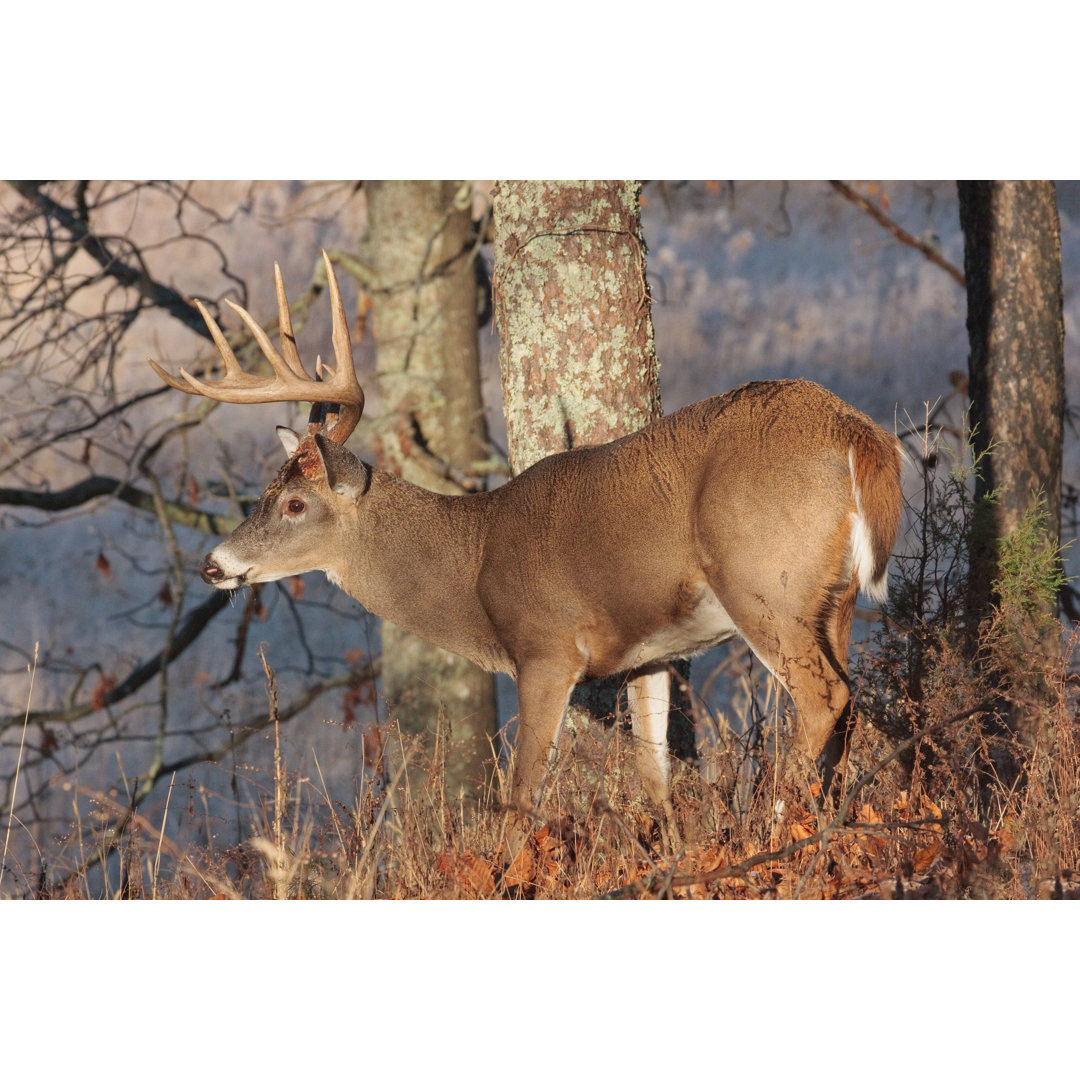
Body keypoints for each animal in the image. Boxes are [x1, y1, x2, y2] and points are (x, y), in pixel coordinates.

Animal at [150, 250, 902, 851]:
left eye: (295, 505)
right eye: (263, 491)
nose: (215, 565)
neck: (474, 564)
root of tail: (857, 434)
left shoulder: (544, 647)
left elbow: (518, 795)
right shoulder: (650, 652)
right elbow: (654, 776)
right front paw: (676, 858)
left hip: (763, 582)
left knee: (825, 696)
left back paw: (777, 829)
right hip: (831, 600)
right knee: (850, 703)